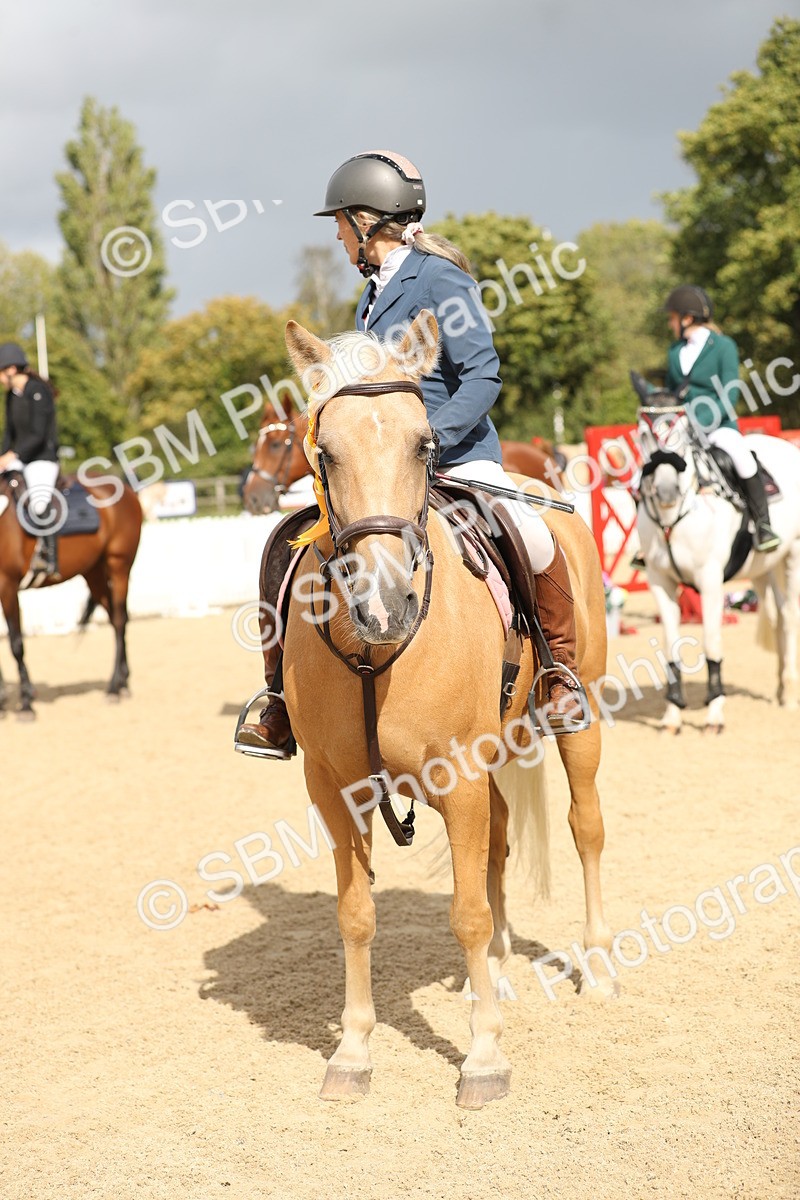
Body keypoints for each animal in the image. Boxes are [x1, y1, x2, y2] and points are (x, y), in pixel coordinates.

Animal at [0, 471, 142, 718]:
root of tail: (125, 487)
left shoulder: (7, 585)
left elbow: (16, 644)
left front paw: (26, 703)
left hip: (119, 566)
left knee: (119, 621)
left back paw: (113, 689)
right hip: (94, 572)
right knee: (116, 619)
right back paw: (123, 684)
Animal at [270, 311, 613, 1109]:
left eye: (425, 444)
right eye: (324, 452)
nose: (383, 605)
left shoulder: (457, 777)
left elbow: (467, 912)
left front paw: (483, 1059)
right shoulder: (334, 787)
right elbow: (356, 915)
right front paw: (353, 1052)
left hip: (576, 721)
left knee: (585, 828)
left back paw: (596, 967)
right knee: (500, 842)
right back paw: (493, 975)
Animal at [634, 392, 800, 733]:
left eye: (681, 432)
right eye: (644, 433)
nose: (667, 491)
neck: (674, 517)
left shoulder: (710, 581)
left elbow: (711, 641)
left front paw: (714, 713)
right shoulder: (660, 581)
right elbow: (670, 643)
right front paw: (672, 714)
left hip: (793, 554)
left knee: (790, 616)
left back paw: (790, 695)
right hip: (763, 568)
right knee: (777, 616)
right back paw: (780, 688)